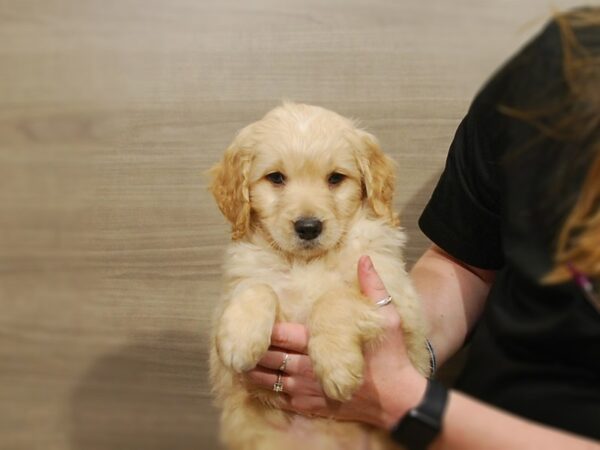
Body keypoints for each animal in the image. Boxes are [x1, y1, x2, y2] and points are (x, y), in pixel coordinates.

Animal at [209, 103, 428, 448]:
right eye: (276, 178)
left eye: (335, 178)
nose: (309, 227)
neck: (307, 263)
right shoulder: (226, 309)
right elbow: (257, 287)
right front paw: (240, 339)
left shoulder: (399, 301)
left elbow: (335, 298)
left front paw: (337, 365)